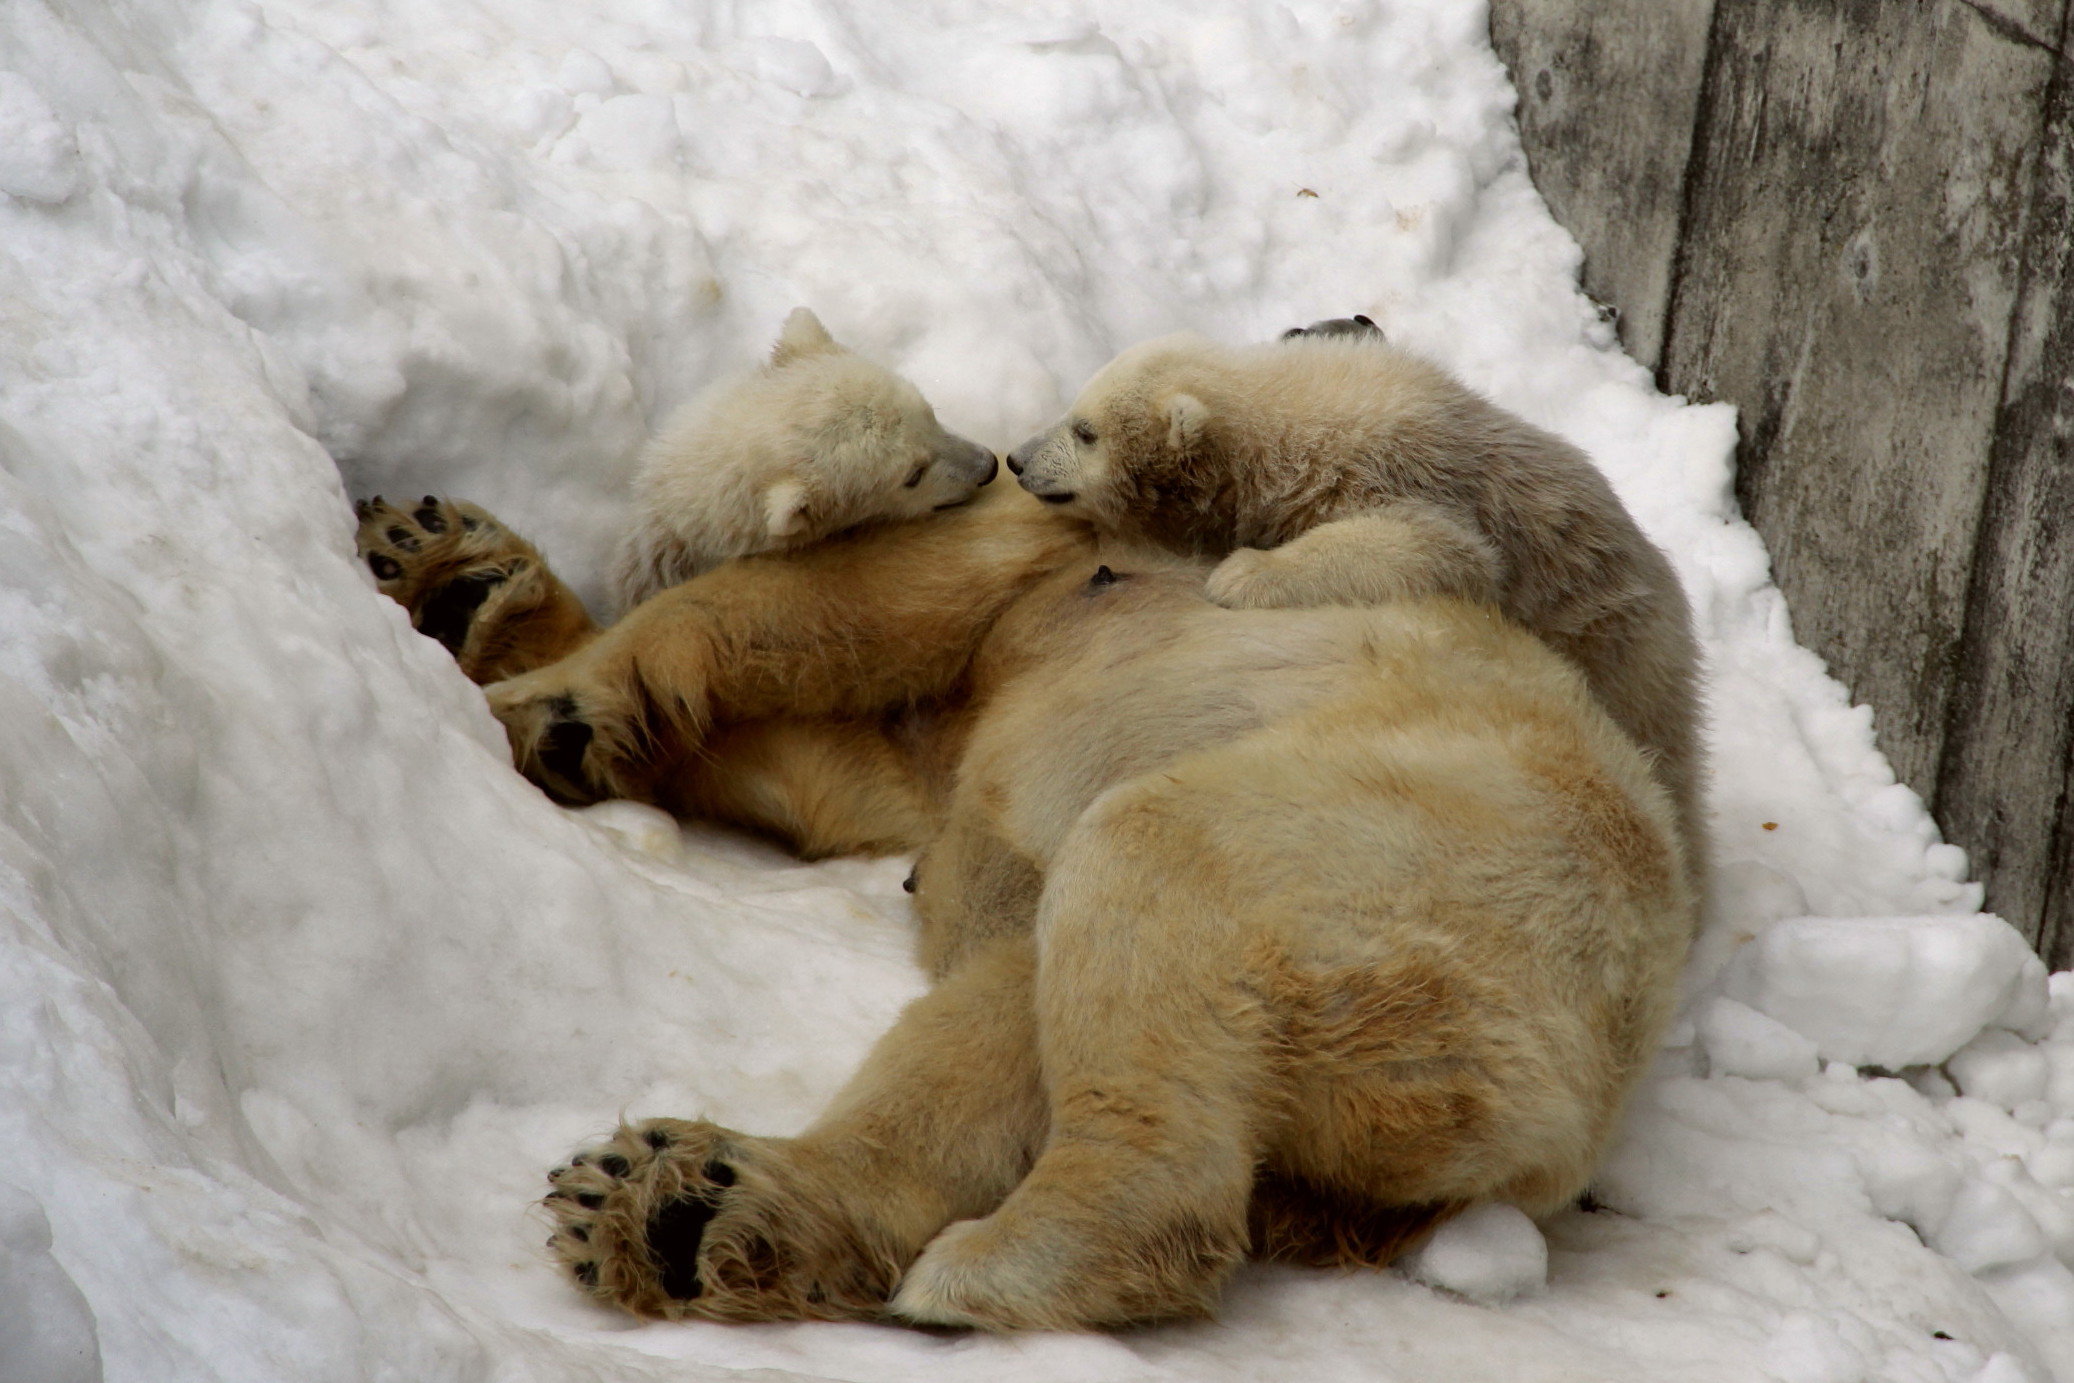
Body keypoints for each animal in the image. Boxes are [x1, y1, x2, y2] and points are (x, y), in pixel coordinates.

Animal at [373, 478, 1692, 1327]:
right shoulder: (946, 733)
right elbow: (839, 777)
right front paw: (461, 586)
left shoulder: (1045, 548)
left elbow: (819, 610)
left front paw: (532, 691)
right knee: (1011, 1002)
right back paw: (684, 1207)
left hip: (1406, 852)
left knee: (1139, 873)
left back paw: (978, 1264)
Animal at [1003, 329, 1700, 883]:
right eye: (1072, 411)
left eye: (1085, 431)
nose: (1016, 458)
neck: (1282, 425)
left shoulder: (1398, 472)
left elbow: (1441, 552)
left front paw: (1240, 575)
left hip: (1625, 657)